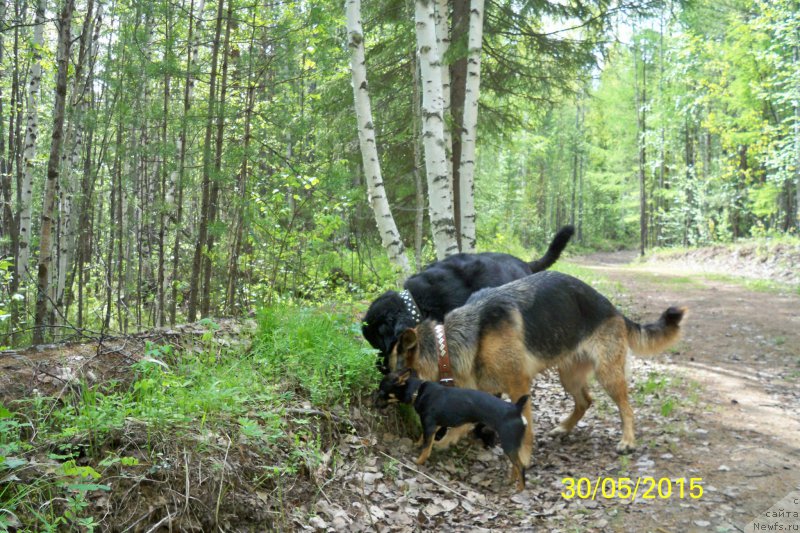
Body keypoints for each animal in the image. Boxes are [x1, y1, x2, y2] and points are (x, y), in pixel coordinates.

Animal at [374, 366, 532, 490]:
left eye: (381, 392)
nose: (374, 403)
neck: (418, 391)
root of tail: (516, 409)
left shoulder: (430, 425)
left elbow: (427, 447)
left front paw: (418, 462)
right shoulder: (433, 426)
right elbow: (423, 438)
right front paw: (417, 444)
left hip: (508, 442)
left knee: (521, 466)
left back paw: (520, 488)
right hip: (511, 445)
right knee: (515, 465)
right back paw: (511, 481)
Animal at [390, 270, 688, 454]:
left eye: (398, 376)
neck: (450, 344)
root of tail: (612, 308)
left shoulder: (519, 385)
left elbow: (524, 426)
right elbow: (465, 421)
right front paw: (446, 441)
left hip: (608, 375)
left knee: (627, 408)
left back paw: (627, 440)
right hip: (569, 376)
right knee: (585, 401)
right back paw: (565, 427)